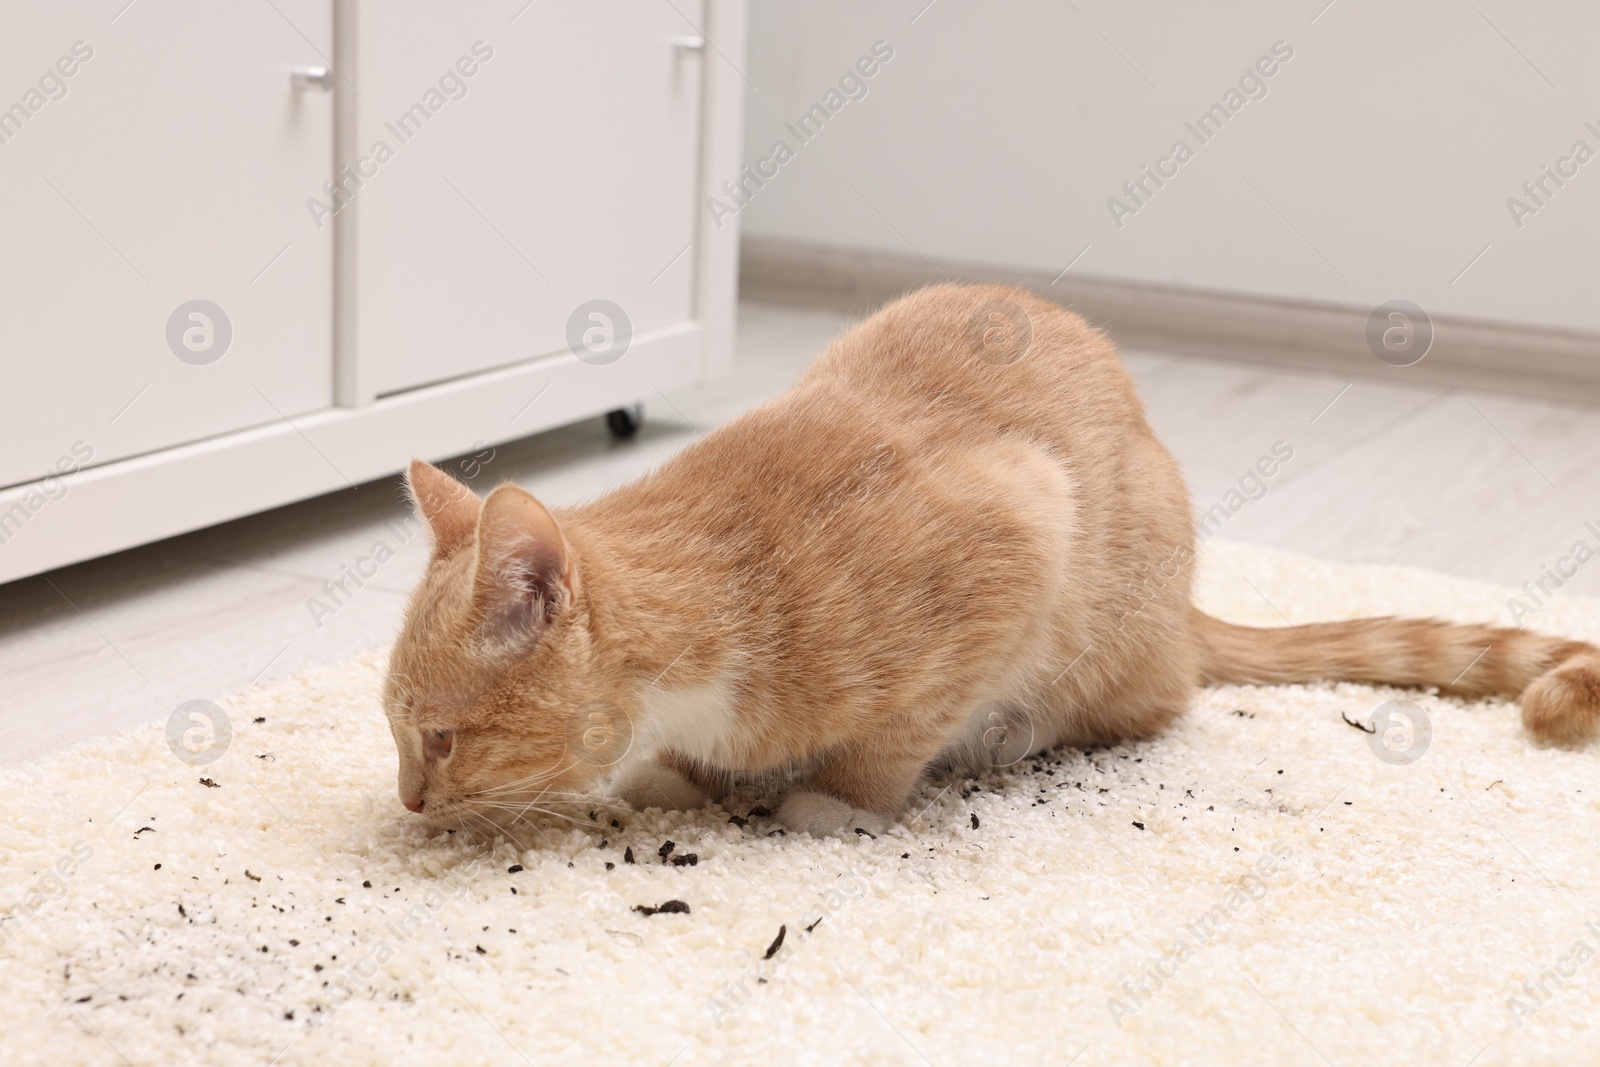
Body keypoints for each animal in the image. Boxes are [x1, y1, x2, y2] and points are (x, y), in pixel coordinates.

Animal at [384, 287, 1600, 838]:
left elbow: (884, 744)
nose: (406, 798)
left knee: (1152, 699)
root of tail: (1189, 606)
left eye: (439, 737)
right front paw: (684, 775)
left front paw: (828, 802)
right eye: (400, 736)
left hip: (1110, 634)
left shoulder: (1021, 524)